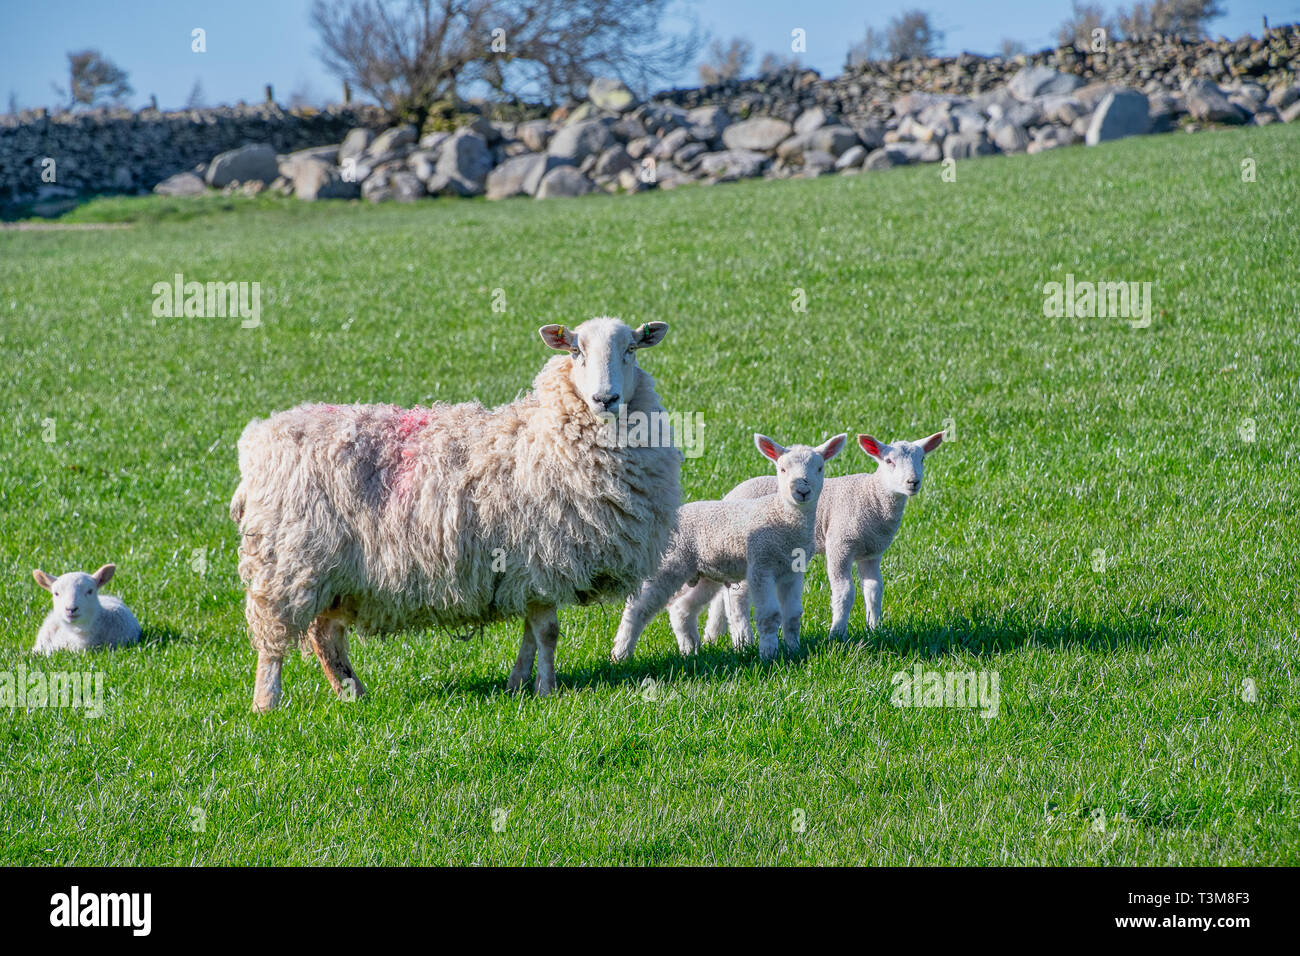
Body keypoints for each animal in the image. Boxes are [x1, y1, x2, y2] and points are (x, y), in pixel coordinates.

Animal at [229, 317, 682, 712]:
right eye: (576, 351)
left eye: (630, 350)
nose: (606, 398)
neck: (544, 436)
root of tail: (257, 440)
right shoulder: (540, 559)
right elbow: (548, 632)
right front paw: (547, 689)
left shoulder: (530, 573)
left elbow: (532, 634)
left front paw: (519, 683)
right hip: (286, 564)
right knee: (273, 639)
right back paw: (267, 704)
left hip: (334, 572)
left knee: (326, 635)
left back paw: (352, 693)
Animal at [611, 432, 846, 662]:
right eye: (782, 469)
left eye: (820, 468)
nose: (802, 491)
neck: (783, 517)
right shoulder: (761, 565)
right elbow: (770, 616)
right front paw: (769, 656)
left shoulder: (792, 571)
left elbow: (793, 615)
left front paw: (793, 650)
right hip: (669, 564)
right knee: (637, 609)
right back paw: (620, 655)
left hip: (704, 574)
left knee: (681, 608)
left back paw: (690, 650)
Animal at [704, 431, 944, 643]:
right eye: (889, 461)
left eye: (922, 459)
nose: (913, 482)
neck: (872, 495)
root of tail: (729, 495)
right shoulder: (840, 543)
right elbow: (845, 592)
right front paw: (837, 634)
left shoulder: (872, 553)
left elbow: (874, 591)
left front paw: (875, 628)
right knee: (737, 597)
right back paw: (741, 639)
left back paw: (713, 635)